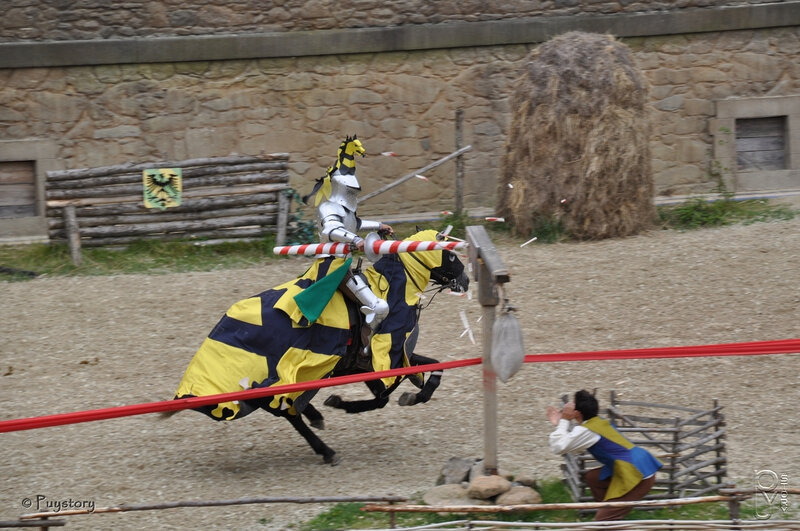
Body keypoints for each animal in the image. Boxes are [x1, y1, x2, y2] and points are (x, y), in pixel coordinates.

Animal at [170, 229, 468, 466]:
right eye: (451, 256)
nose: (465, 280)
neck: (395, 289)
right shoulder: (384, 357)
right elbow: (385, 395)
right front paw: (344, 403)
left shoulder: (369, 362)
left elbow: (431, 370)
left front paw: (416, 395)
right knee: (287, 411)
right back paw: (325, 448)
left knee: (286, 409)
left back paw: (315, 419)